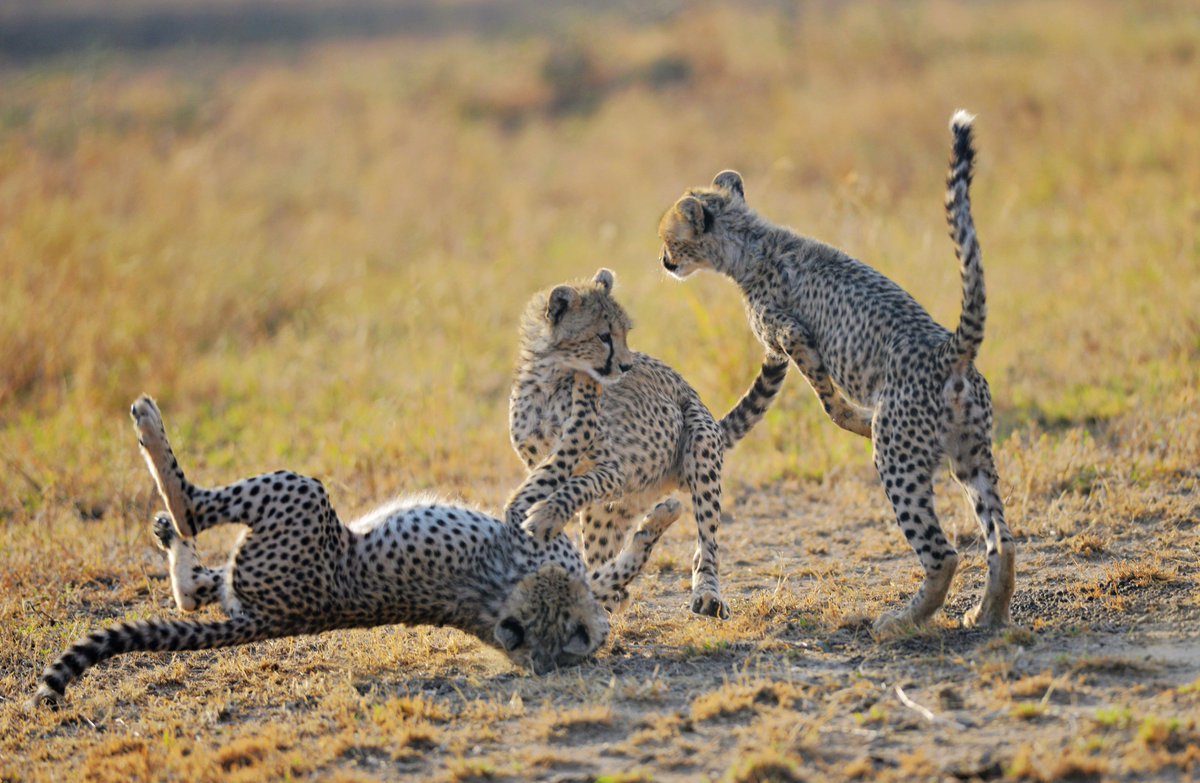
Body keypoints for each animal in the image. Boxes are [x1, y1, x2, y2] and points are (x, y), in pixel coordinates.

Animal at [31, 375, 680, 707]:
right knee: (194, 585)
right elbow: (614, 566)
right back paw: (163, 518)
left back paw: (149, 427)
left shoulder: (529, 521)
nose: (598, 630)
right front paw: (664, 513)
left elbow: (567, 455)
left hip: (298, 497)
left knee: (192, 514)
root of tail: (272, 623)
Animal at [509, 267, 789, 620]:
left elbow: (576, 485)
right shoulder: (545, 463)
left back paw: (707, 593)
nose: (626, 366)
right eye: (603, 336)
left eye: (625, 332)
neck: (550, 380)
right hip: (614, 508)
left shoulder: (615, 471)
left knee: (707, 543)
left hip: (700, 444)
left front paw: (546, 516)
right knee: (604, 557)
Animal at [656, 110, 1015, 633]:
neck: (752, 241)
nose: (663, 260)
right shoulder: (787, 346)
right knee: (1002, 539)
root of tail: (949, 350)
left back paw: (901, 621)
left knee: (943, 554)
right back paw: (987, 613)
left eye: (669, 239)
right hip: (972, 455)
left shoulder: (793, 337)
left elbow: (830, 406)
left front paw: (861, 422)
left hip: (899, 459)